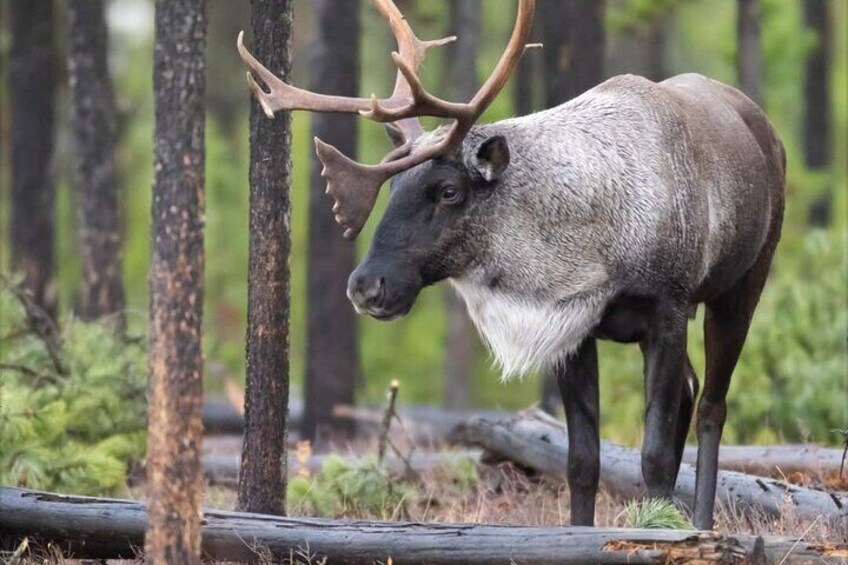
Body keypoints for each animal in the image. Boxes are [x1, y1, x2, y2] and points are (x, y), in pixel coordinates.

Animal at [237, 0, 785, 530]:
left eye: (449, 191)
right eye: (393, 187)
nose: (366, 285)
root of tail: (766, 128)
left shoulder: (666, 311)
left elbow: (652, 454)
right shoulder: (571, 330)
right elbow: (581, 461)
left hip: (741, 286)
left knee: (712, 407)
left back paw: (703, 521)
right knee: (691, 392)